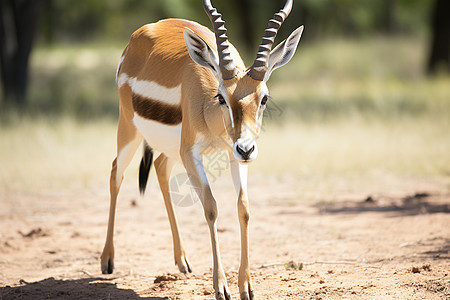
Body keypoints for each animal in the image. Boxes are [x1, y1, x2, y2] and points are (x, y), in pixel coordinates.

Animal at [100, 0, 304, 298]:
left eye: (264, 98)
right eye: (222, 97)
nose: (247, 149)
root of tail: (141, 35)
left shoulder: (233, 154)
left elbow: (243, 208)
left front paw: (246, 286)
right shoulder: (191, 153)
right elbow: (210, 207)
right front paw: (221, 287)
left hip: (171, 150)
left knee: (160, 168)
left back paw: (183, 261)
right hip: (129, 129)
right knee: (116, 172)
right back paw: (107, 260)